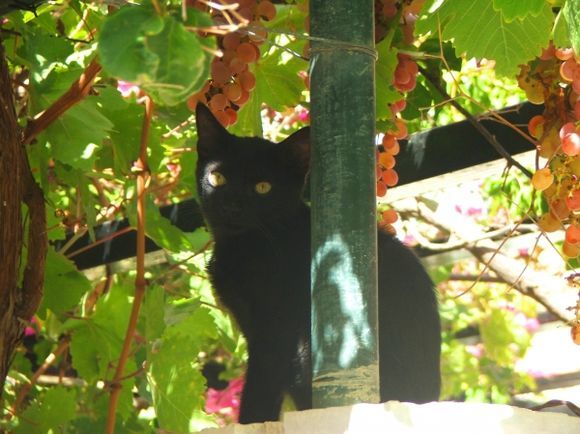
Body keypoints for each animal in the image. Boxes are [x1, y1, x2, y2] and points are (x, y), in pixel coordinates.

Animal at [195, 104, 440, 424]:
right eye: (218, 178)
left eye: (263, 187)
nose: (233, 205)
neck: (244, 245)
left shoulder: (274, 330)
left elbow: (260, 391)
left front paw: (251, 421)